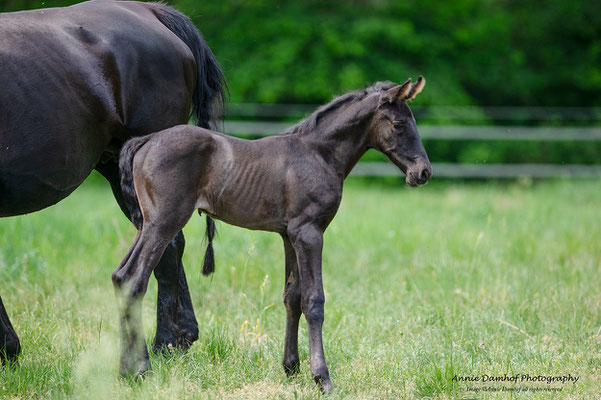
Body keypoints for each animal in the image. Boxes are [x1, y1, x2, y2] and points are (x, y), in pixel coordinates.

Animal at [0, 0, 225, 364]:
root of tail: (148, 11)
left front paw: (8, 348)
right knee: (164, 245)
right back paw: (179, 340)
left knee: (167, 250)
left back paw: (162, 344)